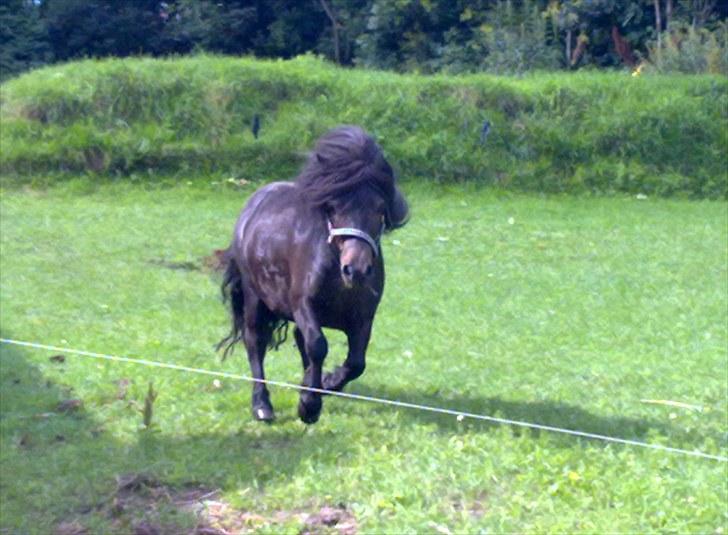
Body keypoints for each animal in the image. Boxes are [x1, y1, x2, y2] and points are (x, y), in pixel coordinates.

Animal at [216, 124, 410, 422]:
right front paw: (308, 405)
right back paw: (262, 405)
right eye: (334, 207)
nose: (356, 270)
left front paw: (323, 384)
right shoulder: (303, 304)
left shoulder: (364, 317)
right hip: (255, 298)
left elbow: (356, 362)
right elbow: (318, 345)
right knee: (255, 342)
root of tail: (253, 204)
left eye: (379, 209)